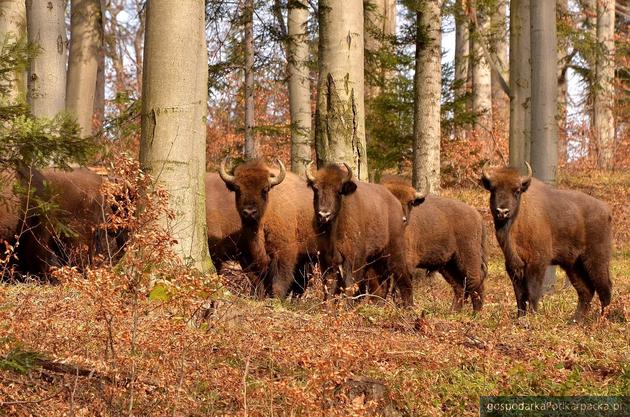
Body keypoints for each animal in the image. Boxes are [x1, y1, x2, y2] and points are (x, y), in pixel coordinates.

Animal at [221, 156, 320, 296]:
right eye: (237, 188)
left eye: (265, 189)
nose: (249, 212)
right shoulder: (250, 258)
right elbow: (257, 282)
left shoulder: (284, 253)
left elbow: (280, 281)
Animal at [306, 162, 414, 306]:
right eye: (316, 189)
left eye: (338, 191)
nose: (324, 214)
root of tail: (395, 203)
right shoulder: (327, 261)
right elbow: (329, 289)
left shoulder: (353, 260)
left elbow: (349, 286)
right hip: (375, 260)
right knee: (380, 286)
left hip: (395, 252)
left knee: (403, 277)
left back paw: (408, 307)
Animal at [380, 174, 488, 310]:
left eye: (410, 202)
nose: (402, 219)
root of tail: (478, 217)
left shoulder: (405, 263)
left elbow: (401, 287)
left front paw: (406, 309)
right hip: (448, 265)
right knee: (459, 286)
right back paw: (453, 311)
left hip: (468, 259)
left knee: (475, 282)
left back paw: (476, 312)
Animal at [484, 162, 612, 322]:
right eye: (493, 189)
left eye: (517, 191)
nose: (502, 211)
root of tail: (606, 211)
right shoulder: (513, 266)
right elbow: (519, 295)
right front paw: (520, 318)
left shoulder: (537, 263)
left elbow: (532, 292)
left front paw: (532, 317)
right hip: (573, 265)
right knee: (586, 291)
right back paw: (575, 321)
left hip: (596, 261)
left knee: (605, 288)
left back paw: (601, 320)